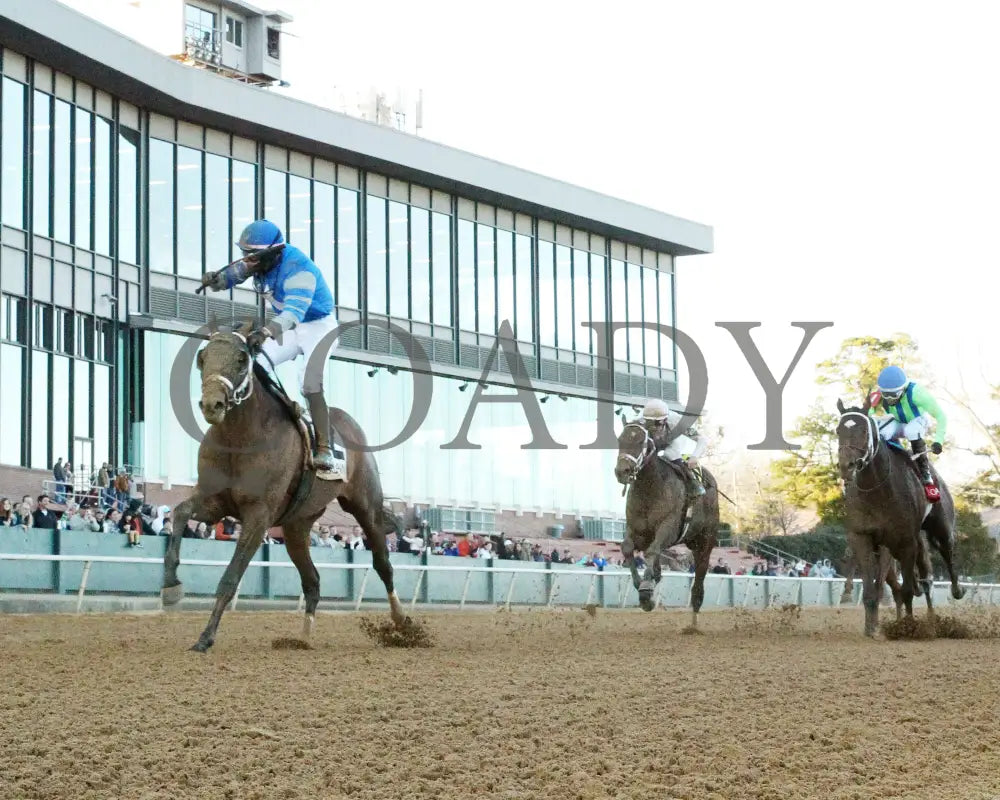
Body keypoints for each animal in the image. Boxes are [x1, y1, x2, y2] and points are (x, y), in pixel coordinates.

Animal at [162, 324, 404, 648]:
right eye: (202, 358)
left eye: (241, 359)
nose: (212, 405)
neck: (239, 439)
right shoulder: (215, 502)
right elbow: (179, 512)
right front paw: (170, 586)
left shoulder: (258, 515)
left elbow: (231, 576)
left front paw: (206, 637)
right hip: (296, 526)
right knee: (312, 580)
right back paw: (303, 637)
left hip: (367, 507)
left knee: (383, 564)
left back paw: (402, 621)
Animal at [608, 416, 720, 628]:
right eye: (619, 440)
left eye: (641, 442)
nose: (622, 471)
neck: (650, 488)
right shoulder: (637, 530)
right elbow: (627, 548)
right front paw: (643, 587)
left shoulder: (668, 527)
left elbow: (652, 551)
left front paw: (645, 590)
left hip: (704, 543)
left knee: (698, 584)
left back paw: (693, 624)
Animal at [836, 396, 968, 636]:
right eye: (838, 430)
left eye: (864, 431)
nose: (846, 465)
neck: (877, 490)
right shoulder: (863, 537)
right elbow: (872, 590)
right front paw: (871, 628)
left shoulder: (906, 541)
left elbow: (906, 590)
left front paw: (907, 627)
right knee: (920, 578)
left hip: (941, 526)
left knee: (944, 556)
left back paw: (952, 596)